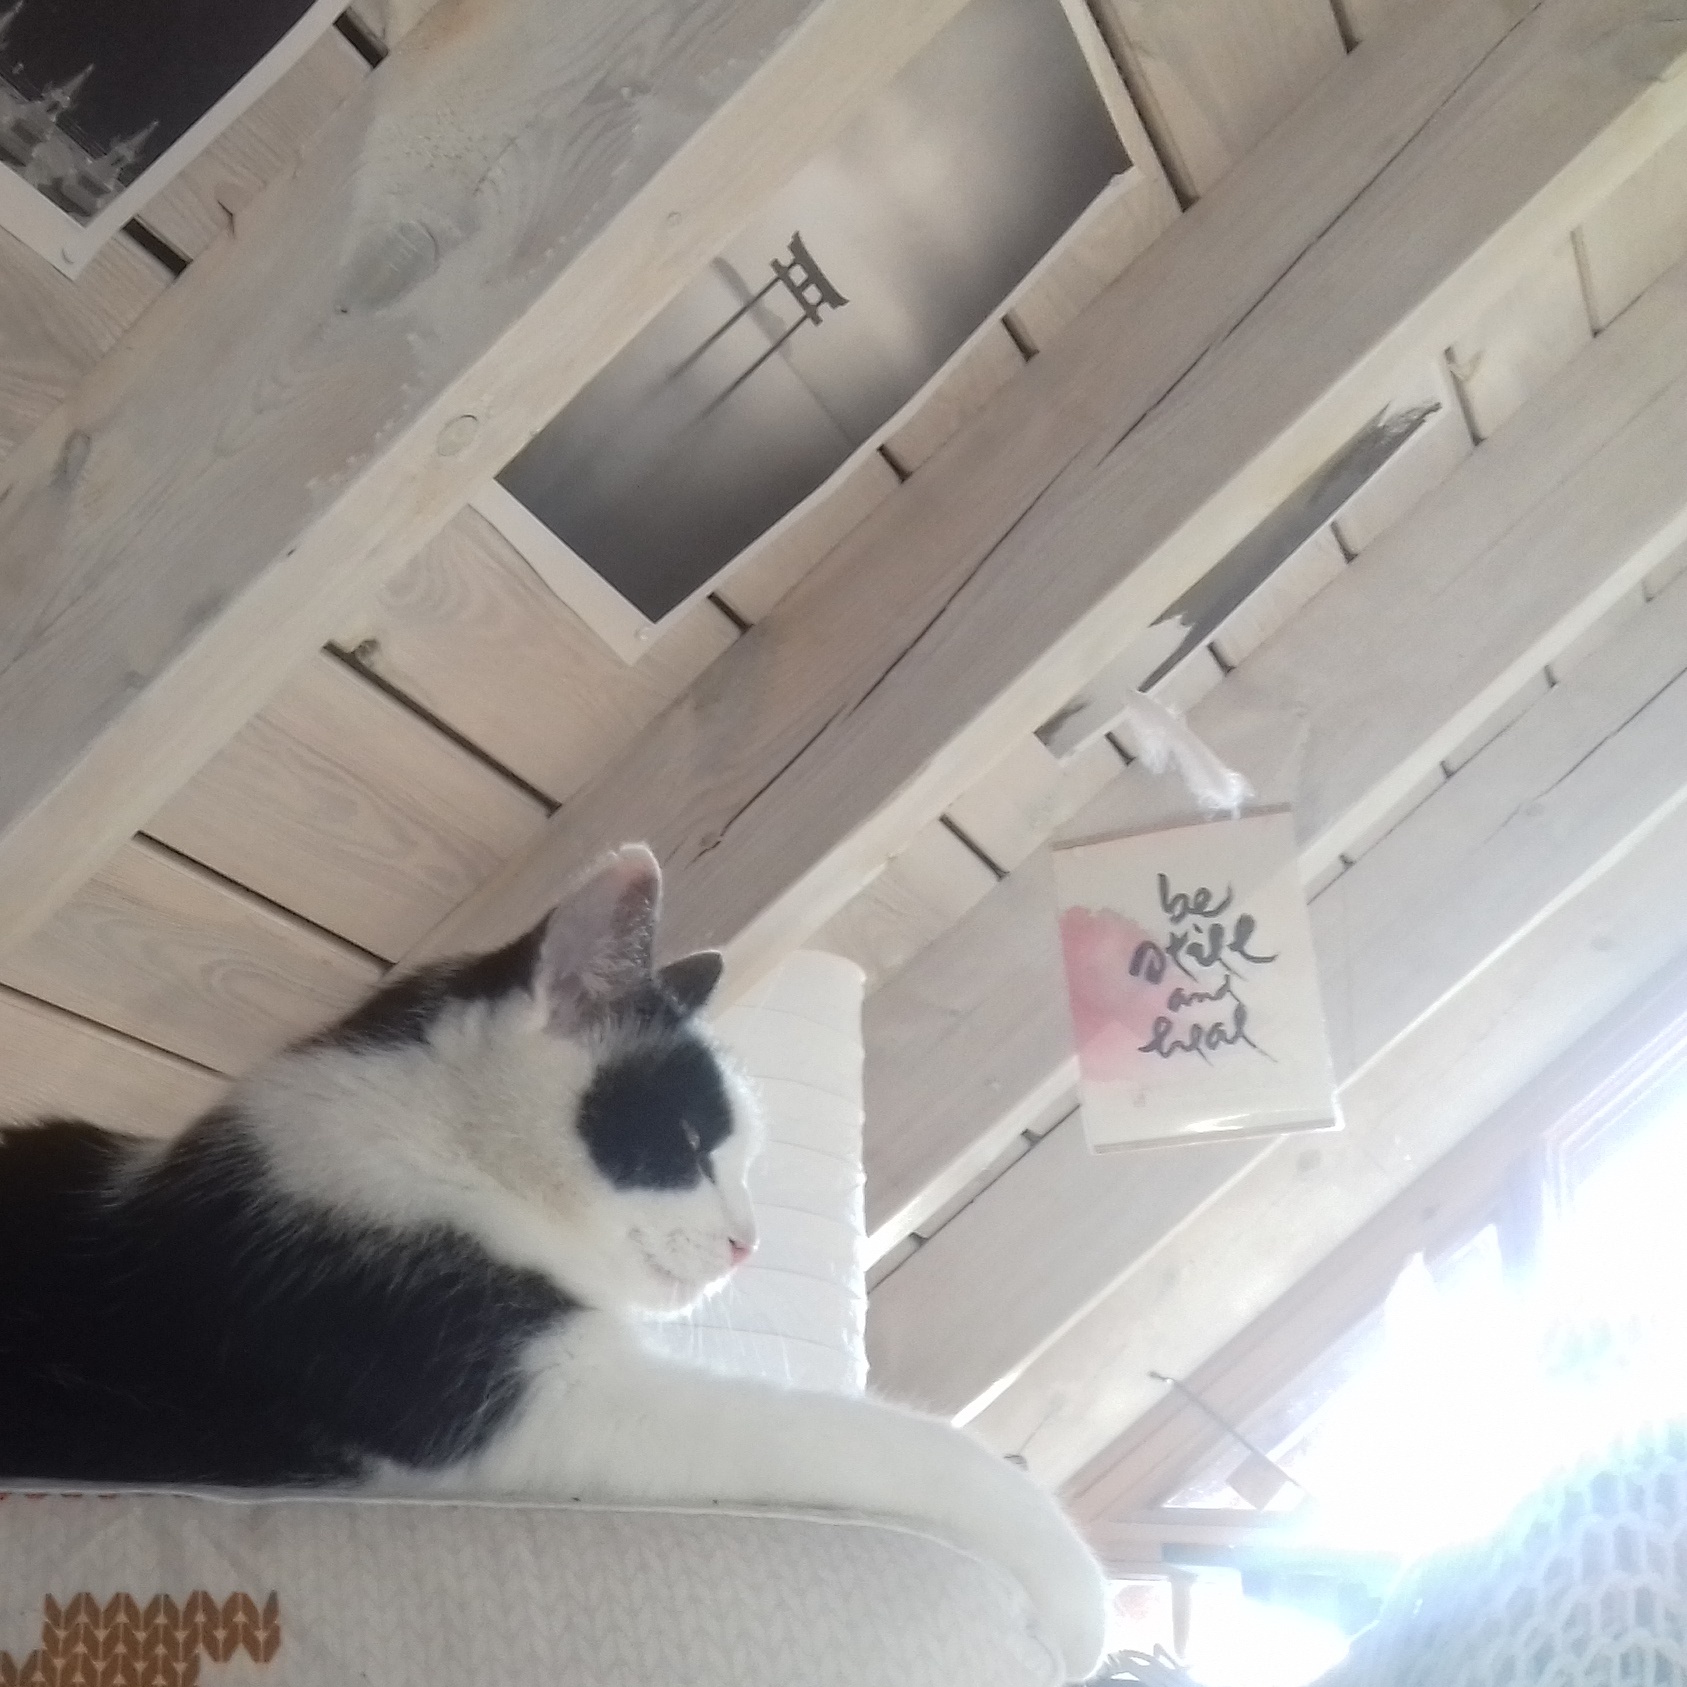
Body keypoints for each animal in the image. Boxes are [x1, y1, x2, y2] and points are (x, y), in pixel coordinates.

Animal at [0, 845, 1106, 1680]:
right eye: (690, 1143)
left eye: (738, 1157)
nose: (747, 1242)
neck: (431, 1154)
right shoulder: (534, 1401)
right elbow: (856, 1434)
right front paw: (1070, 1580)